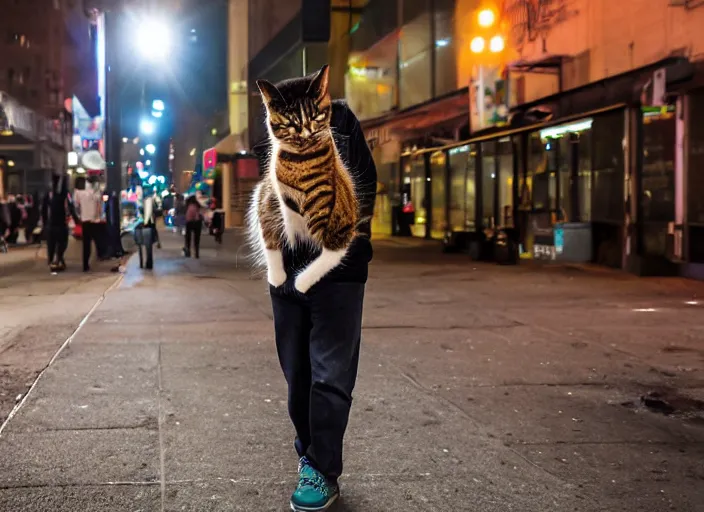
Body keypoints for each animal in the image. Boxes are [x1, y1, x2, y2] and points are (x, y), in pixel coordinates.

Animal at [248, 66, 358, 294]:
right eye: (290, 123)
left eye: (316, 117)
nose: (307, 134)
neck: (299, 161)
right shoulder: (270, 201)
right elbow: (272, 239)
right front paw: (277, 277)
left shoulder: (335, 216)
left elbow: (328, 252)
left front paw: (300, 281)